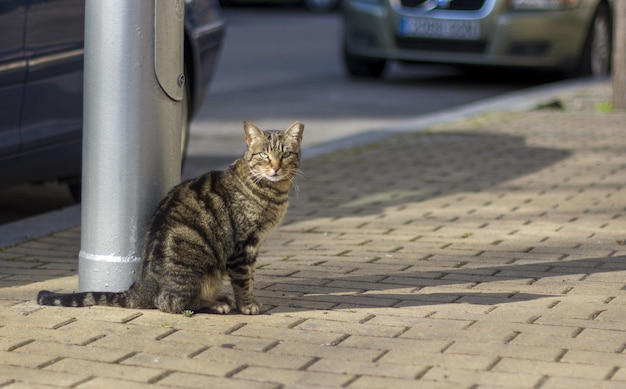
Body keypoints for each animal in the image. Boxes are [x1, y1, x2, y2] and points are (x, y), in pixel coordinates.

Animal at [37, 122, 304, 316]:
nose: (276, 168)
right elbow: (244, 279)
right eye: (263, 154)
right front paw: (247, 304)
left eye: (286, 154)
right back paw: (215, 303)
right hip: (198, 268)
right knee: (169, 302)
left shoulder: (253, 245)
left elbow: (250, 277)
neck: (273, 191)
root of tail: (140, 285)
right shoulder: (243, 247)